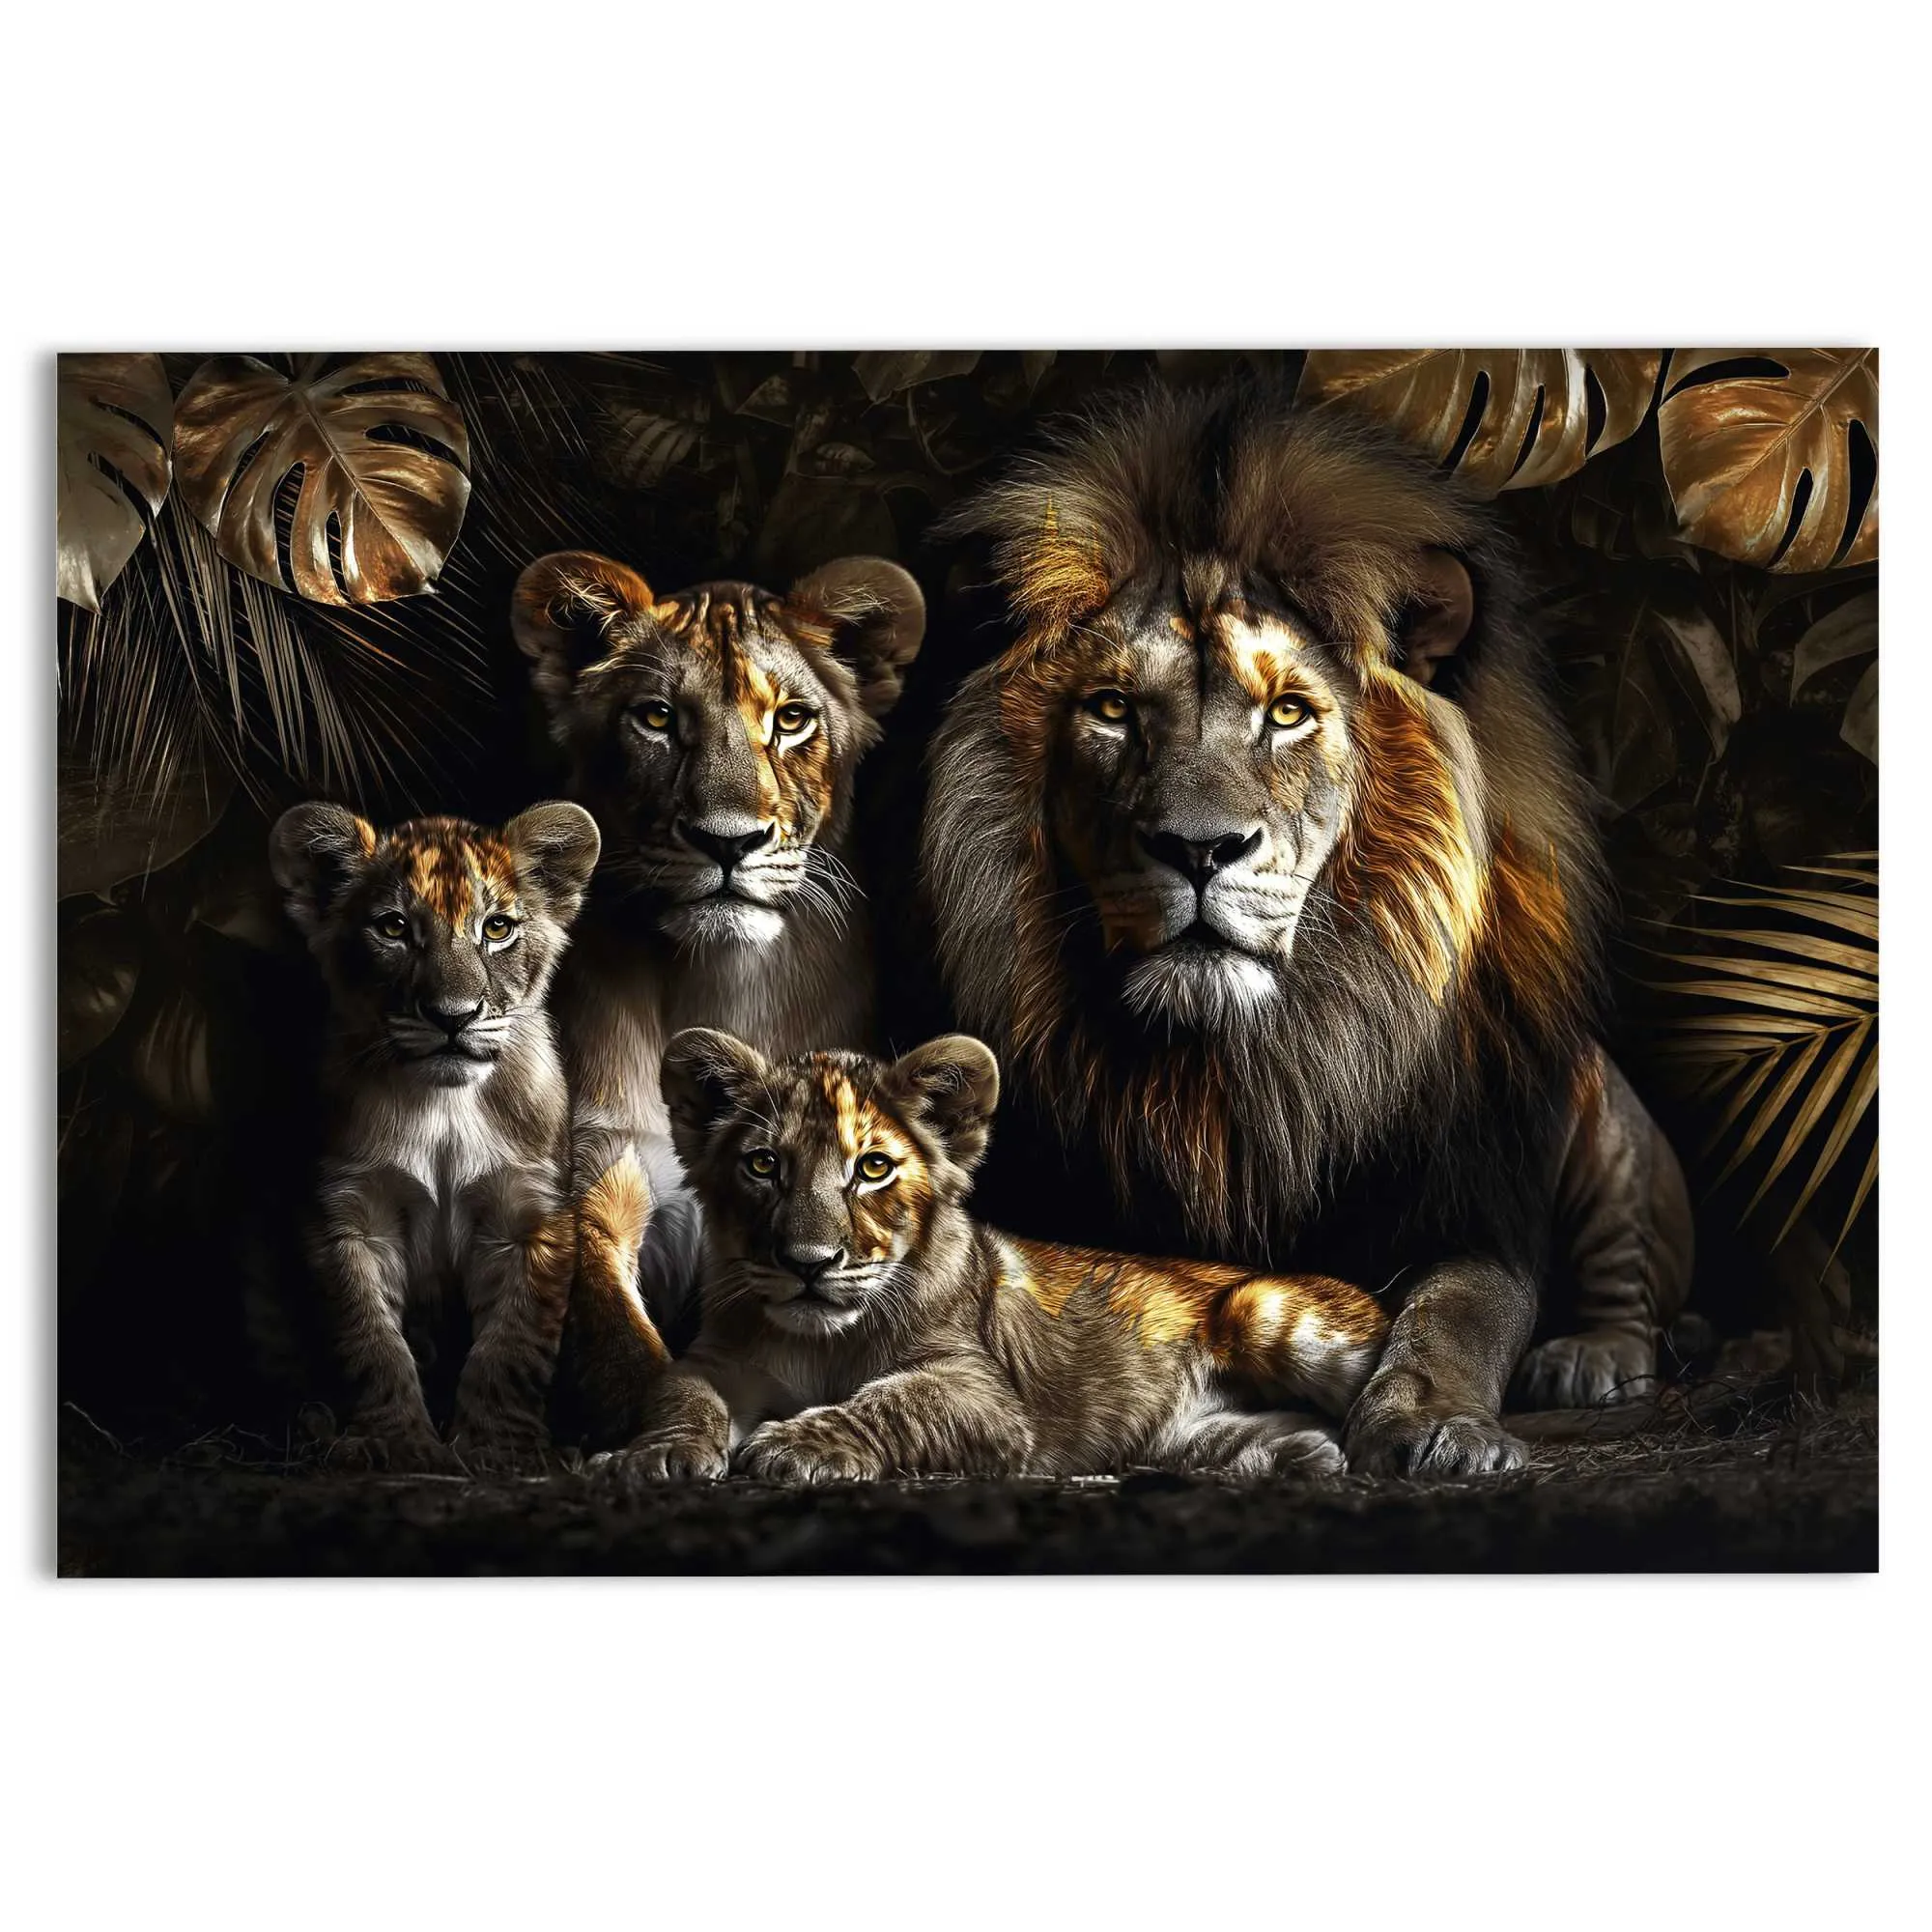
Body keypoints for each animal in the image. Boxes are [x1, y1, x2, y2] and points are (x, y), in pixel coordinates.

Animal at [512, 550, 924, 1443]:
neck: (716, 982)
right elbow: (615, 1336)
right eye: (658, 718)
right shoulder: (604, 1166)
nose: (727, 842)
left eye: (793, 720)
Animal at [919, 383, 1693, 1476]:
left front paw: (1435, 1419)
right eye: (1111, 709)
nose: (1198, 849)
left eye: (1287, 713)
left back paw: (1587, 1359)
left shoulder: (1468, 1200)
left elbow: (1460, 1315)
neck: (1240, 1069)